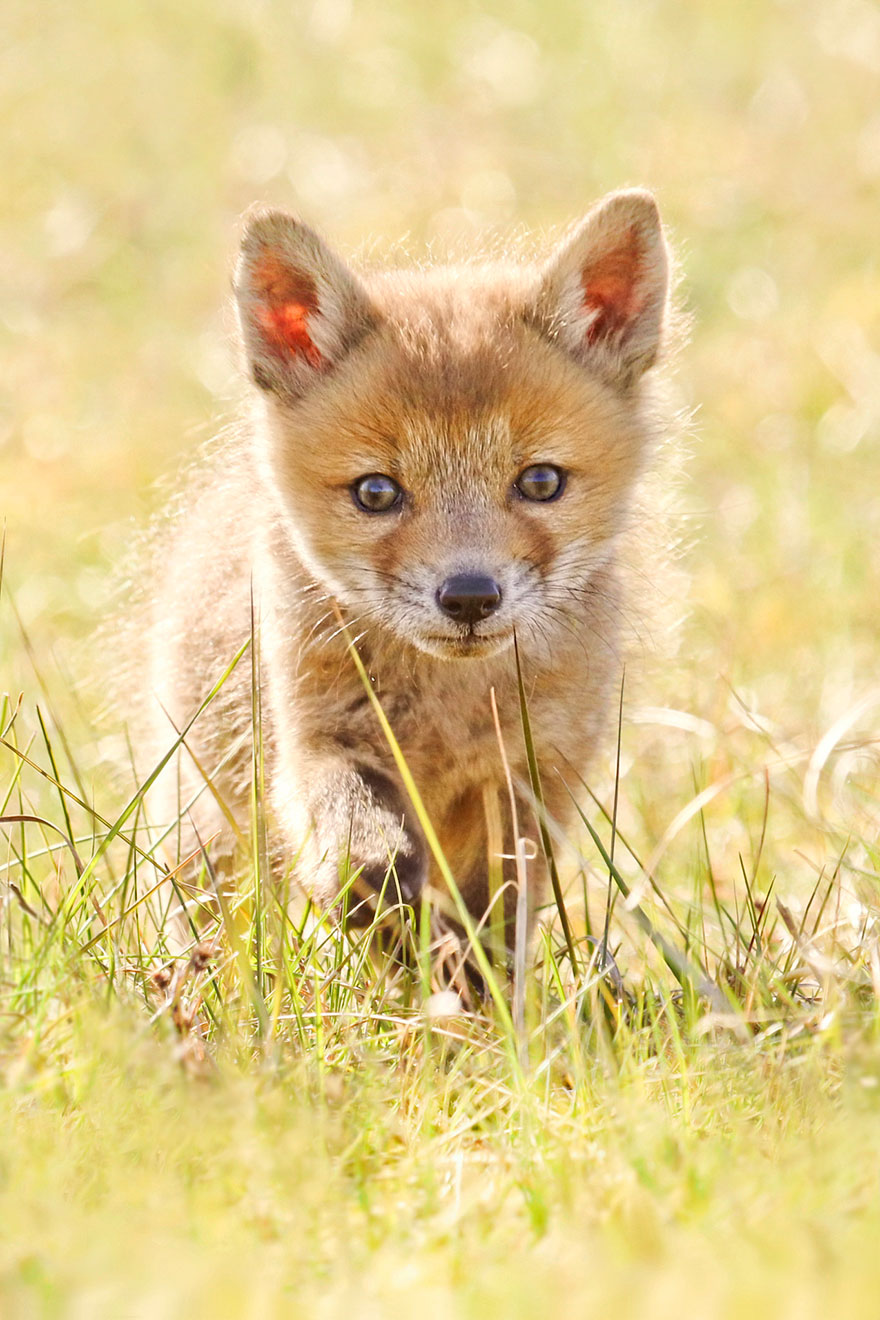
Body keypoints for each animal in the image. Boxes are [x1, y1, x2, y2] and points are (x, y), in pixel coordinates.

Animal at [144, 187, 672, 956]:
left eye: (541, 482)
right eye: (375, 493)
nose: (471, 596)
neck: (448, 713)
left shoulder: (530, 781)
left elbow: (494, 920)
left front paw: (467, 983)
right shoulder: (312, 743)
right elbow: (360, 844)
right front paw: (381, 905)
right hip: (206, 818)